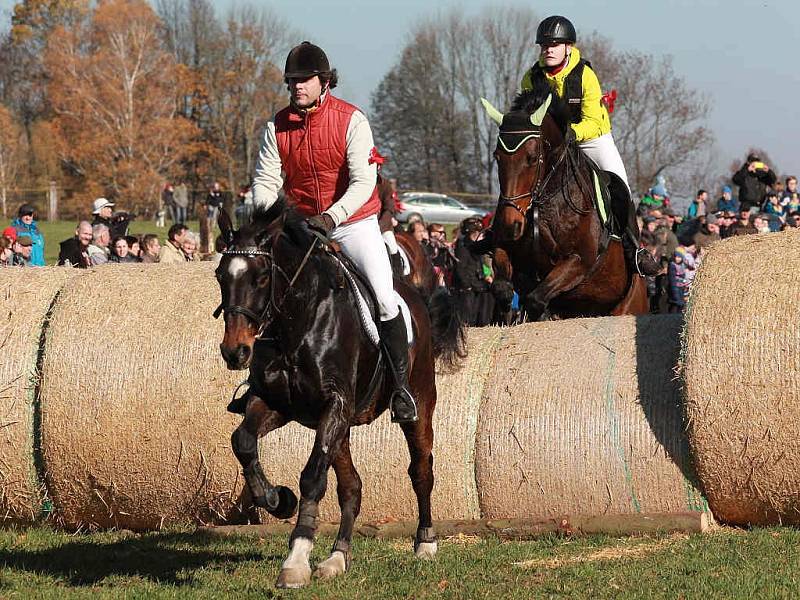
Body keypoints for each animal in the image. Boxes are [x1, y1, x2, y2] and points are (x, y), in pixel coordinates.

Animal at [216, 204, 466, 588]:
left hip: (419, 405)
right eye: (219, 275)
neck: (297, 324)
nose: (235, 352)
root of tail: (415, 294)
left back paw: (425, 542)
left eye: (260, 278)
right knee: (352, 487)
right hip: (342, 428)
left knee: (421, 470)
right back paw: (337, 557)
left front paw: (296, 558)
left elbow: (312, 478)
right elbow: (242, 441)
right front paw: (277, 498)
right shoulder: (277, 404)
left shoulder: (335, 404)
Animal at [478, 86, 648, 322]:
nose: (510, 225)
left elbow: (535, 300)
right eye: (497, 157)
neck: (542, 201)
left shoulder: (578, 260)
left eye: (532, 158)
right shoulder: (504, 248)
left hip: (629, 304)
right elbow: (503, 289)